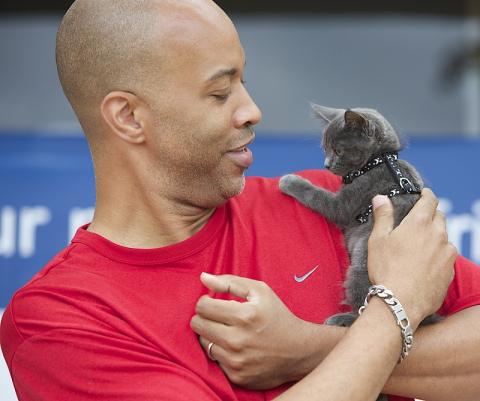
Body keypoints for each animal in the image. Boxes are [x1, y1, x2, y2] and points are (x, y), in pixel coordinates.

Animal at [278, 104, 438, 328]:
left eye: (338, 150)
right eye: (325, 149)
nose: (326, 164)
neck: (378, 161)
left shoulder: (345, 204)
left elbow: (317, 196)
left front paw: (289, 180)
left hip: (361, 261)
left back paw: (341, 318)